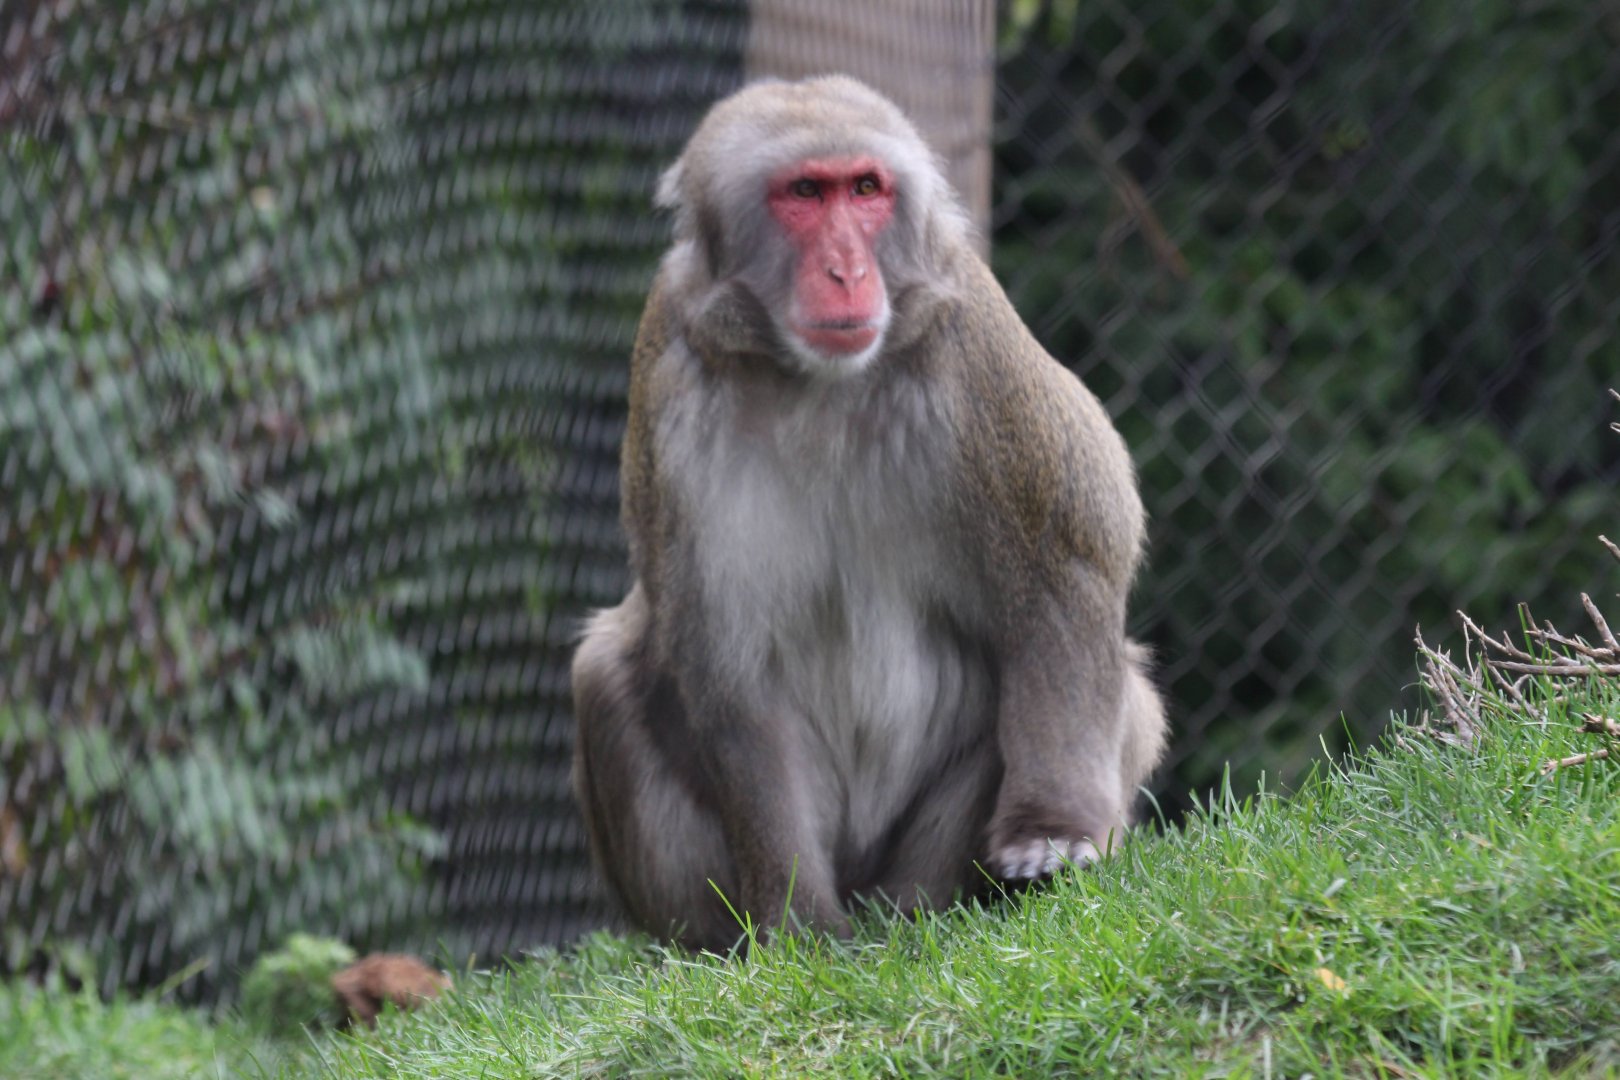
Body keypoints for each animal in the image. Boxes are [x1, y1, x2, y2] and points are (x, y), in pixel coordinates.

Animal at [571, 75, 1167, 951]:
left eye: (864, 190)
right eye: (804, 194)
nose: (848, 270)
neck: (816, 382)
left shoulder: (975, 352)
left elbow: (1062, 563)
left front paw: (1050, 834)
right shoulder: (673, 385)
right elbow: (728, 670)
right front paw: (795, 926)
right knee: (604, 672)